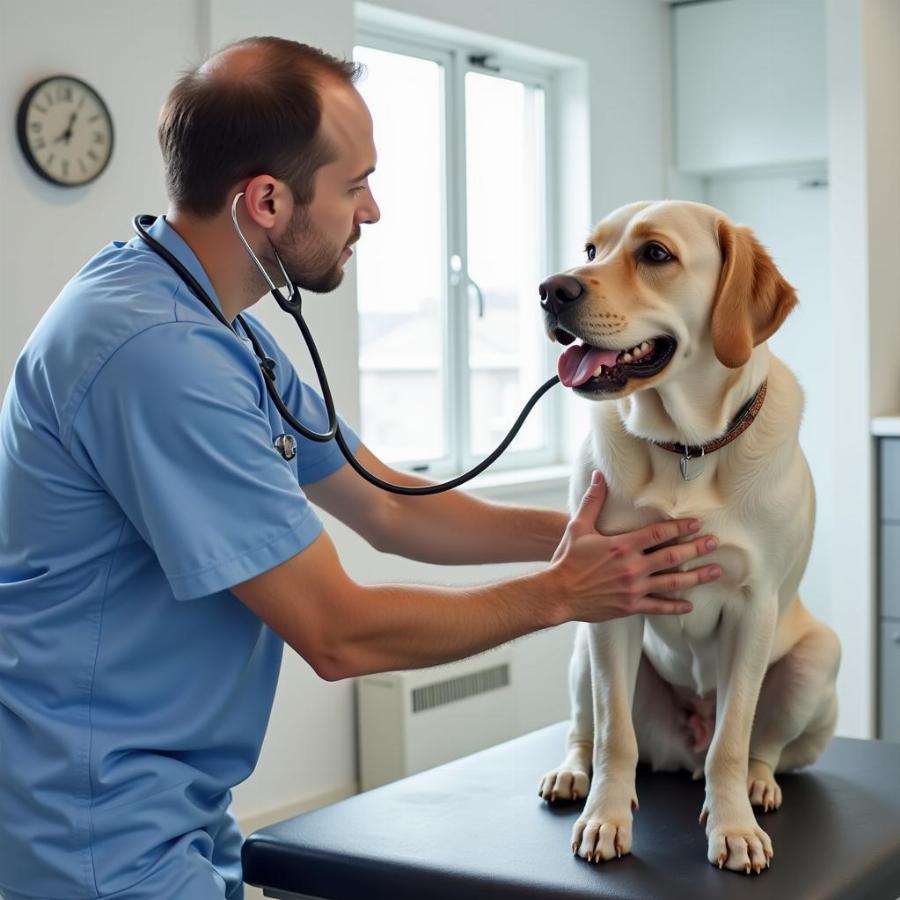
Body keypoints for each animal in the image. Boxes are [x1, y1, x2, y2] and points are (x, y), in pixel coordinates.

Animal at [540, 200, 844, 876]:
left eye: (656, 254)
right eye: (591, 249)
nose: (551, 290)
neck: (686, 448)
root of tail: (682, 751)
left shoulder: (754, 609)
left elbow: (731, 741)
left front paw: (735, 828)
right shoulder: (612, 596)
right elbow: (614, 736)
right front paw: (605, 818)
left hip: (817, 659)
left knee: (759, 744)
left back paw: (757, 785)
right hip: (580, 649)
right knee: (587, 731)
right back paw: (573, 774)